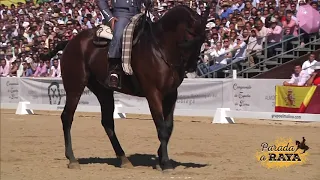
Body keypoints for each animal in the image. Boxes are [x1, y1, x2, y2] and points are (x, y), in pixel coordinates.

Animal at [45, 4, 210, 171]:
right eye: (189, 36)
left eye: (203, 39)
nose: (191, 66)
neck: (160, 48)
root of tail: (71, 42)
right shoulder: (153, 93)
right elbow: (161, 127)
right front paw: (166, 163)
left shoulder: (171, 94)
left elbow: (168, 127)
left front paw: (160, 158)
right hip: (75, 86)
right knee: (67, 117)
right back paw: (72, 159)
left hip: (103, 91)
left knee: (107, 122)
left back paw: (123, 159)